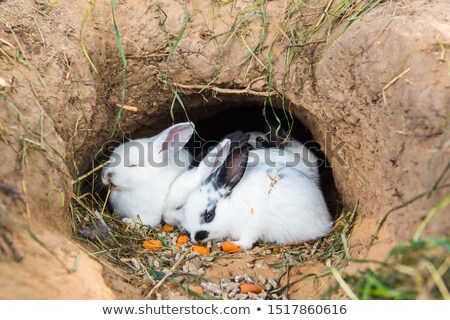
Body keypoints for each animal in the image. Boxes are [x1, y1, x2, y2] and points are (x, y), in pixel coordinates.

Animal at [181, 141, 332, 250]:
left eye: (209, 215)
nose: (194, 238)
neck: (231, 206)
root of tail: (325, 219)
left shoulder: (252, 225)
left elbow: (247, 240)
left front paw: (236, 244)